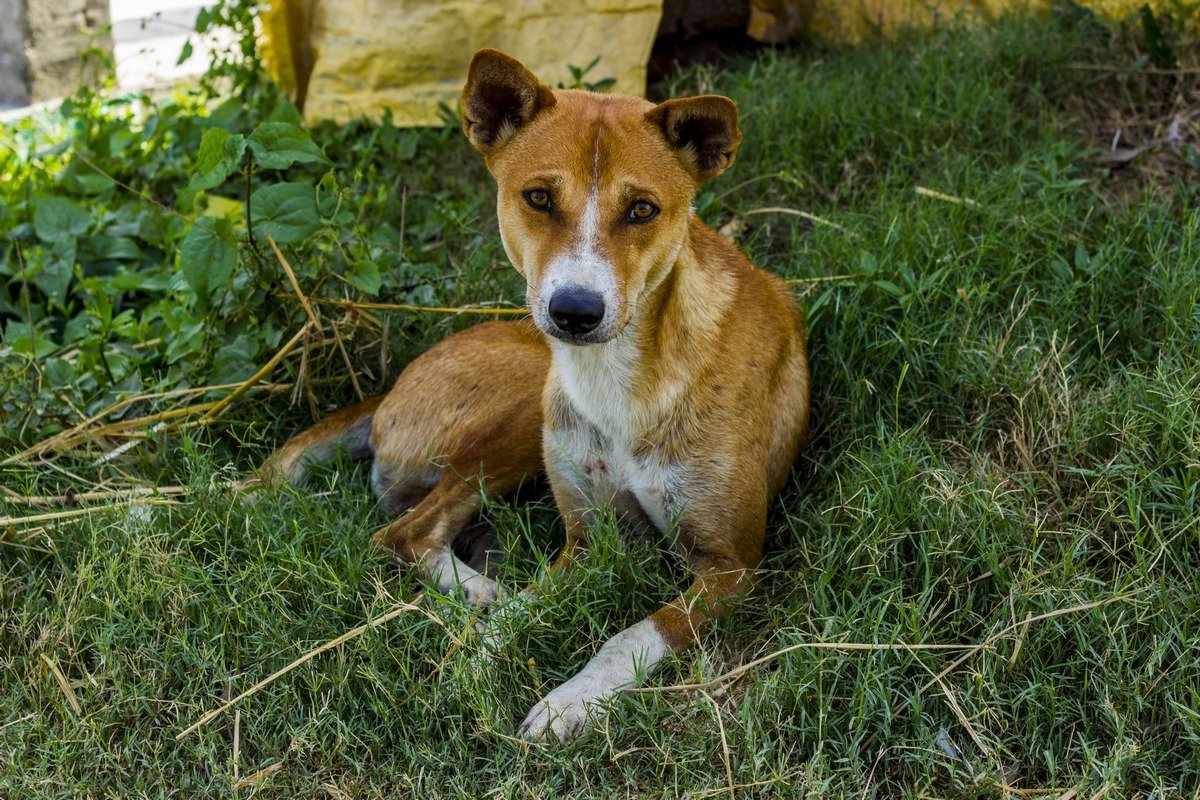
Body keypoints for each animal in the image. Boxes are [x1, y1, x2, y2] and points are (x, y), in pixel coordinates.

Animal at [253, 48, 816, 738]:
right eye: (539, 197)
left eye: (643, 209)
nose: (575, 311)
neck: (621, 377)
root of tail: (387, 391)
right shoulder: (587, 540)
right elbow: (524, 609)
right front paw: (477, 660)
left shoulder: (733, 566)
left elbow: (629, 635)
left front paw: (567, 701)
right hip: (522, 412)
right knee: (404, 533)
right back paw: (480, 590)